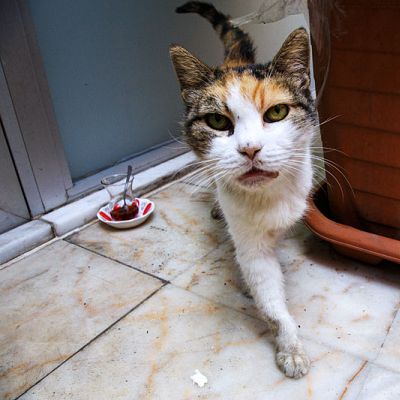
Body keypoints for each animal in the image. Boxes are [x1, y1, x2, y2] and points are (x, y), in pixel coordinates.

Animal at [170, 2, 318, 378]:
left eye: (277, 112)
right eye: (217, 121)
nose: (250, 149)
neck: (271, 196)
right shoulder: (250, 241)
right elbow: (268, 294)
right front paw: (289, 345)